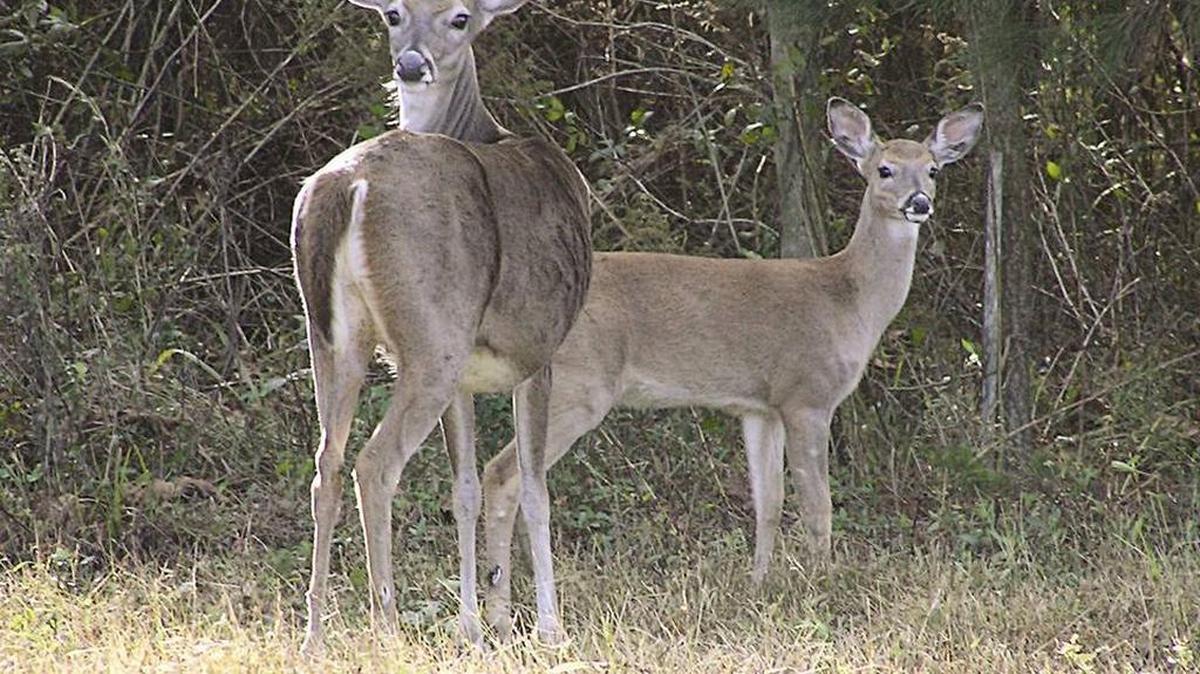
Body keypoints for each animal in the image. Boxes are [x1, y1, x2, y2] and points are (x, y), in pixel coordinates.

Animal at [292, 0, 590, 652]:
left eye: (459, 18)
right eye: (393, 14)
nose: (410, 63)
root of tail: (346, 185)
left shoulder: (468, 379)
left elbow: (468, 489)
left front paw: (479, 625)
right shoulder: (538, 350)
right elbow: (534, 488)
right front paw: (548, 628)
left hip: (331, 337)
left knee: (327, 463)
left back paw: (314, 635)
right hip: (432, 342)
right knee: (374, 465)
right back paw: (385, 626)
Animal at [480, 97, 984, 639]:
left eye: (933, 170)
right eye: (884, 169)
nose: (919, 202)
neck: (849, 301)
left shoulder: (759, 407)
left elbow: (769, 502)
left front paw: (759, 583)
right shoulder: (807, 394)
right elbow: (818, 504)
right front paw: (825, 586)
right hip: (580, 386)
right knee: (503, 473)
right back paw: (504, 617)